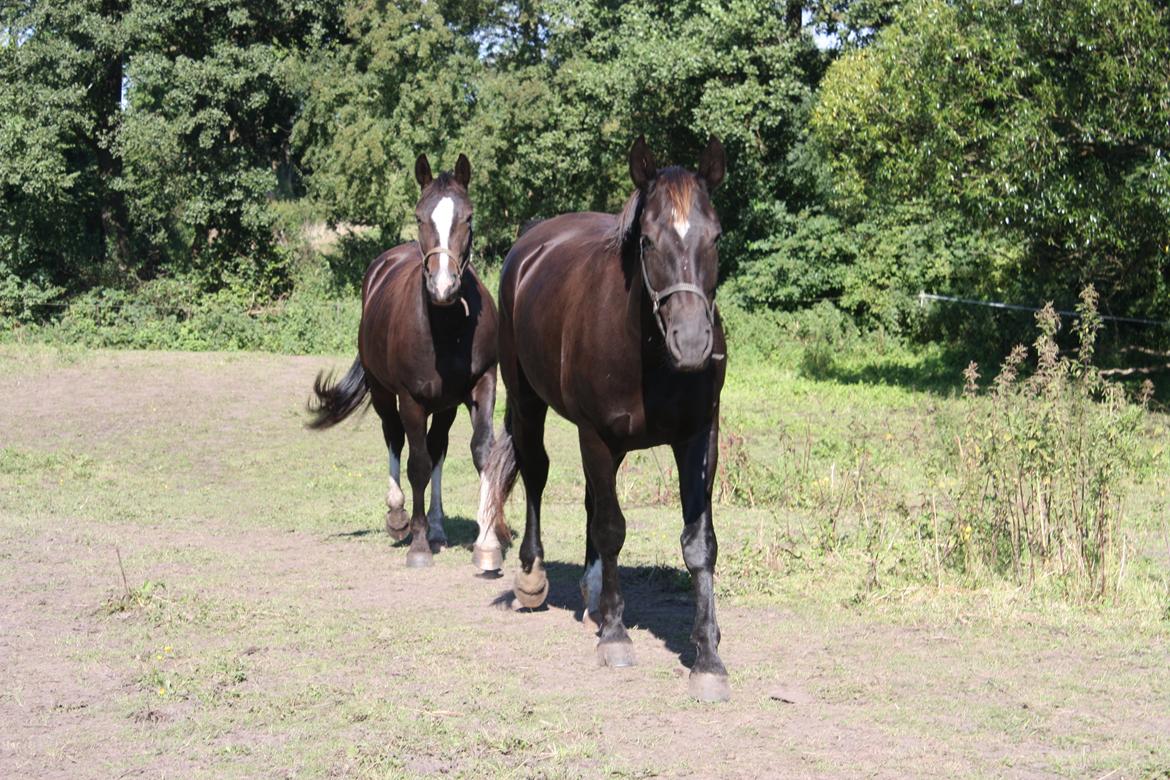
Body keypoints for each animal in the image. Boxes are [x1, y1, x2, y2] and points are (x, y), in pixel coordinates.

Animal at [311, 154, 507, 568]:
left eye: (468, 217)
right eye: (419, 217)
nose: (443, 286)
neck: (446, 326)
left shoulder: (483, 383)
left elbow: (480, 453)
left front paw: (486, 545)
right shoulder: (411, 399)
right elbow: (415, 463)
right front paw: (417, 545)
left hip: (445, 406)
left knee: (438, 449)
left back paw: (436, 527)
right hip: (384, 393)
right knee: (395, 440)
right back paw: (398, 515)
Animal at [475, 135, 730, 701]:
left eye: (716, 236)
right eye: (648, 241)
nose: (692, 343)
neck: (650, 355)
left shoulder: (698, 437)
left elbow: (698, 543)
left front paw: (708, 656)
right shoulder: (595, 434)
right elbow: (612, 527)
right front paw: (615, 635)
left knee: (592, 496)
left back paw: (592, 591)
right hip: (529, 402)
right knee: (536, 473)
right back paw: (534, 576)